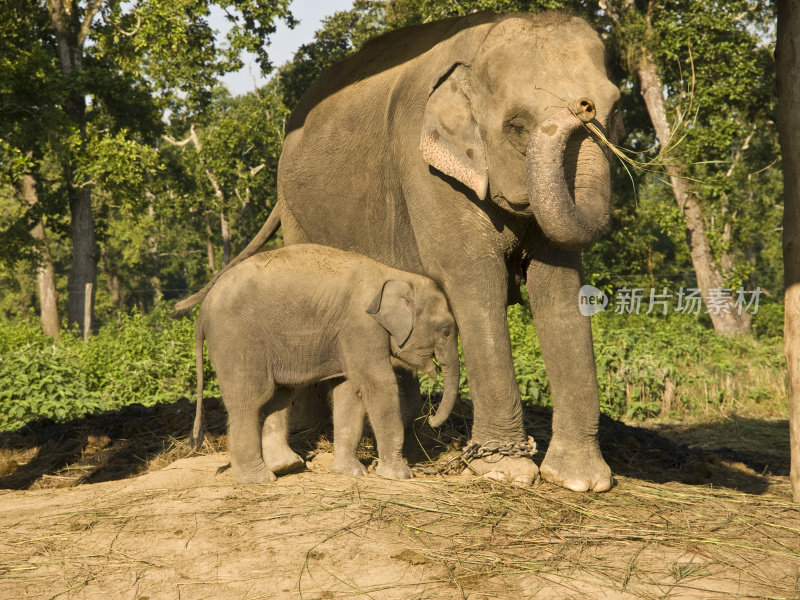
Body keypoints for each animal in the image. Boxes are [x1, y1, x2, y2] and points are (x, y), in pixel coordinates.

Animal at [190, 244, 460, 482]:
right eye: (446, 331)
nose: (431, 419)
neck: (396, 275)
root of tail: (202, 311)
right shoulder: (360, 326)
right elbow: (378, 384)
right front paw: (400, 475)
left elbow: (348, 391)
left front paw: (351, 472)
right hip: (237, 339)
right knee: (252, 397)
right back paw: (258, 479)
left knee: (278, 395)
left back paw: (288, 466)